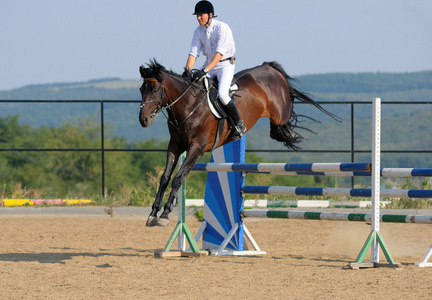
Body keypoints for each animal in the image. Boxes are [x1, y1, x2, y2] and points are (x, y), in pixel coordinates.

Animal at [140, 59, 340, 226]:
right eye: (141, 90)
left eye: (156, 90)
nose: (143, 120)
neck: (188, 105)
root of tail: (268, 67)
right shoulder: (175, 145)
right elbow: (165, 178)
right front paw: (153, 213)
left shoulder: (196, 148)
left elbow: (178, 178)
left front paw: (165, 215)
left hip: (279, 112)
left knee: (286, 116)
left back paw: (287, 133)